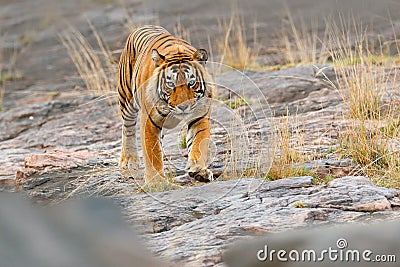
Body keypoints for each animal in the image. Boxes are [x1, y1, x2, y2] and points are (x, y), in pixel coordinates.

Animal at [117, 25, 214, 185]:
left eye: (191, 83)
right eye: (170, 84)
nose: (183, 107)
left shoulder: (199, 116)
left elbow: (198, 142)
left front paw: (198, 169)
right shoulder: (149, 120)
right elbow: (152, 150)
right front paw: (156, 182)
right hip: (126, 97)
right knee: (128, 129)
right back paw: (129, 161)